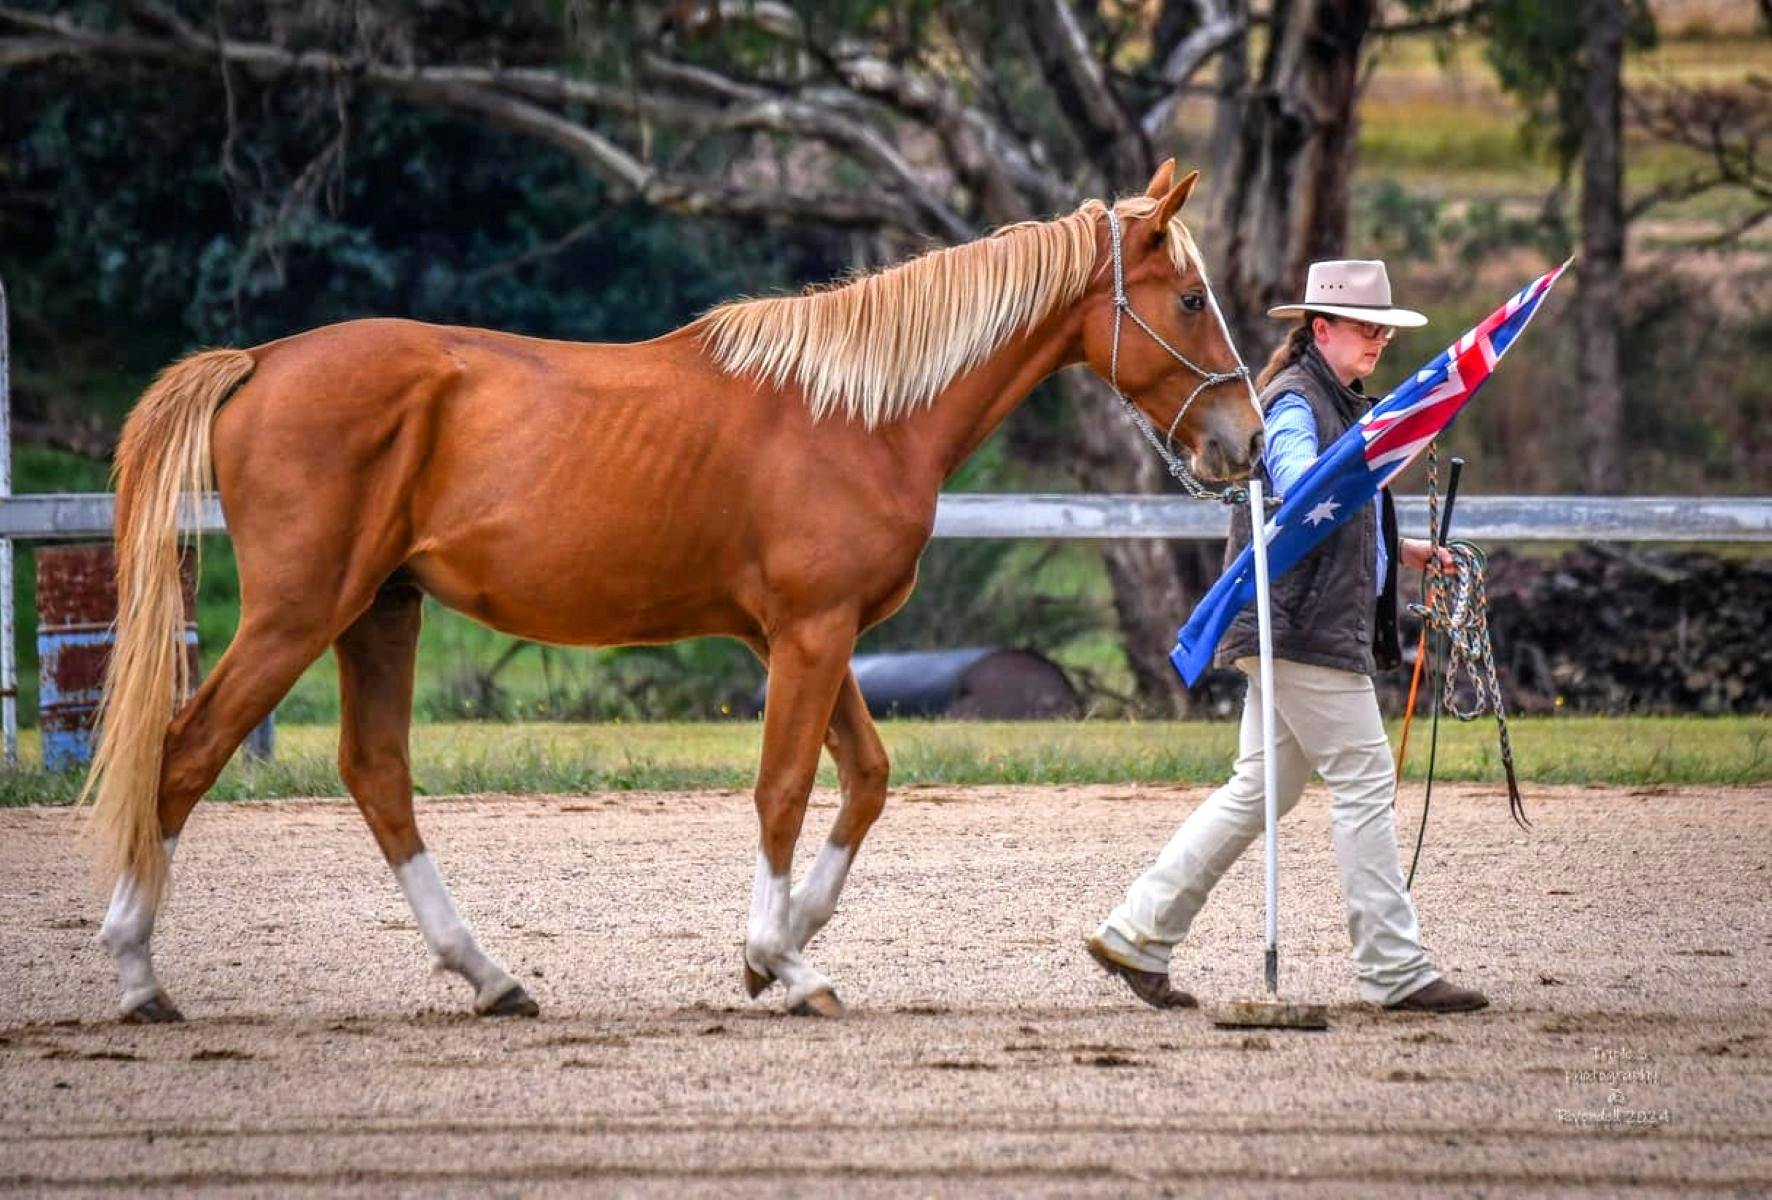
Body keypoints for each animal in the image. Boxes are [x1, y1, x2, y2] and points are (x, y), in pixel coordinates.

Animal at [85, 161, 1262, 1023]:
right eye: (1190, 298)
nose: (1243, 441)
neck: (859, 413)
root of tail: (258, 360)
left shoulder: (800, 638)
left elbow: (867, 778)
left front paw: (778, 950)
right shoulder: (809, 632)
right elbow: (784, 789)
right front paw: (782, 962)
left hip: (380, 611)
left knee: (376, 776)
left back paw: (490, 977)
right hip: (299, 615)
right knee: (185, 754)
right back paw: (136, 976)